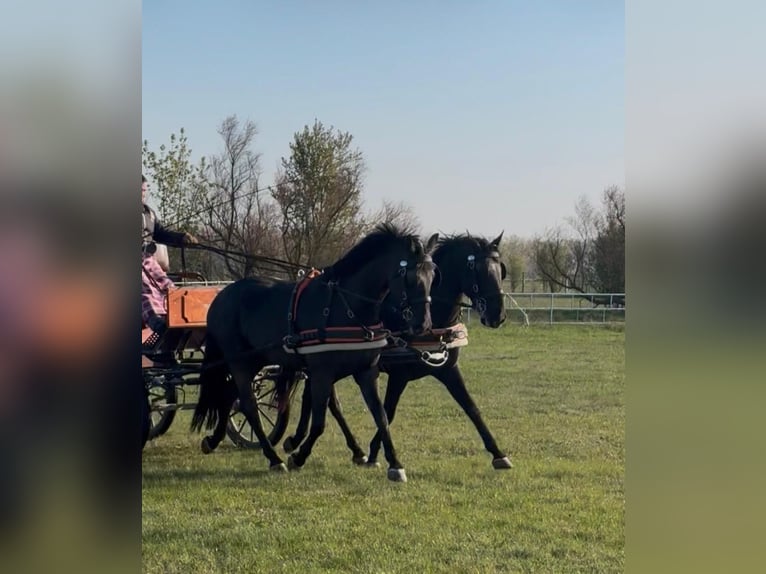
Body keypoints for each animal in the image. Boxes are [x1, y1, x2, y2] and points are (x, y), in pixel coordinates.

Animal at [190, 223, 438, 482]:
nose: (423, 325)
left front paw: (394, 464)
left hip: (254, 360)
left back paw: (213, 440)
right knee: (248, 405)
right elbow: (319, 422)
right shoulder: (321, 372)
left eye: (433, 275)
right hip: (239, 362)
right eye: (410, 276)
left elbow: (380, 416)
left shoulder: (366, 371)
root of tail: (221, 296)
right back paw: (274, 459)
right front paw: (298, 456)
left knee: (228, 395)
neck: (346, 305)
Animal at [283, 232, 514, 470]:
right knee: (325, 400)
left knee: (322, 398)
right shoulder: (398, 375)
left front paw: (498, 454)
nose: (498, 316)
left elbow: (471, 408)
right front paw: (376, 454)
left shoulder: (448, 369)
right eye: (477, 269)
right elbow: (388, 412)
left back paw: (328, 446)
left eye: (500, 270)